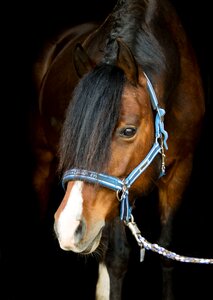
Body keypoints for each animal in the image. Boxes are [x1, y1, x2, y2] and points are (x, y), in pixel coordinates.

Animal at [31, 0, 205, 300]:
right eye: (73, 130)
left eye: (128, 131)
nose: (67, 226)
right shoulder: (117, 194)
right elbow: (117, 259)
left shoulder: (181, 169)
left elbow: (166, 252)